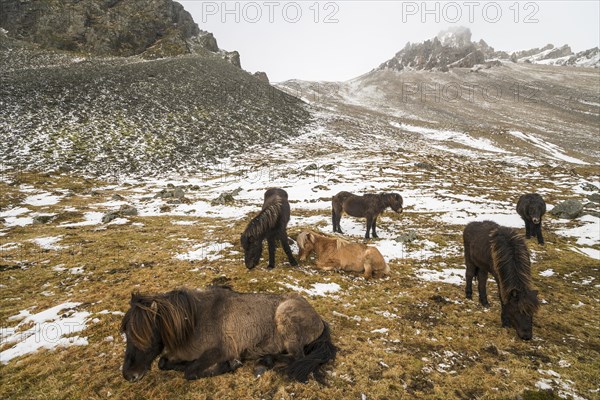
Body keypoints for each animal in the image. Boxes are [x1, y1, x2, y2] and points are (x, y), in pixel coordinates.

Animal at [119, 286, 336, 382]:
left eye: (145, 335)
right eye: (126, 333)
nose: (129, 375)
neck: (195, 322)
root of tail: (319, 319)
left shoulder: (220, 350)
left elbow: (190, 372)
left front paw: (229, 365)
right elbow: (163, 363)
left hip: (286, 319)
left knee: (297, 357)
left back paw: (264, 362)